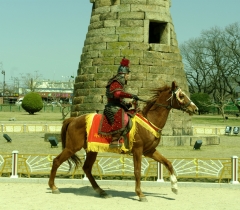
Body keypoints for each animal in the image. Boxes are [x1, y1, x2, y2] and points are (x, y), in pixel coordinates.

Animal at [47, 81, 198, 202]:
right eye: (181, 96)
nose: (195, 108)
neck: (150, 119)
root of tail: (73, 119)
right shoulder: (138, 151)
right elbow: (137, 172)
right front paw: (140, 194)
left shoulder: (150, 151)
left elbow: (168, 163)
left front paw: (174, 186)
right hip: (72, 147)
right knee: (57, 161)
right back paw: (53, 187)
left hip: (92, 150)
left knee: (87, 169)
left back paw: (101, 191)